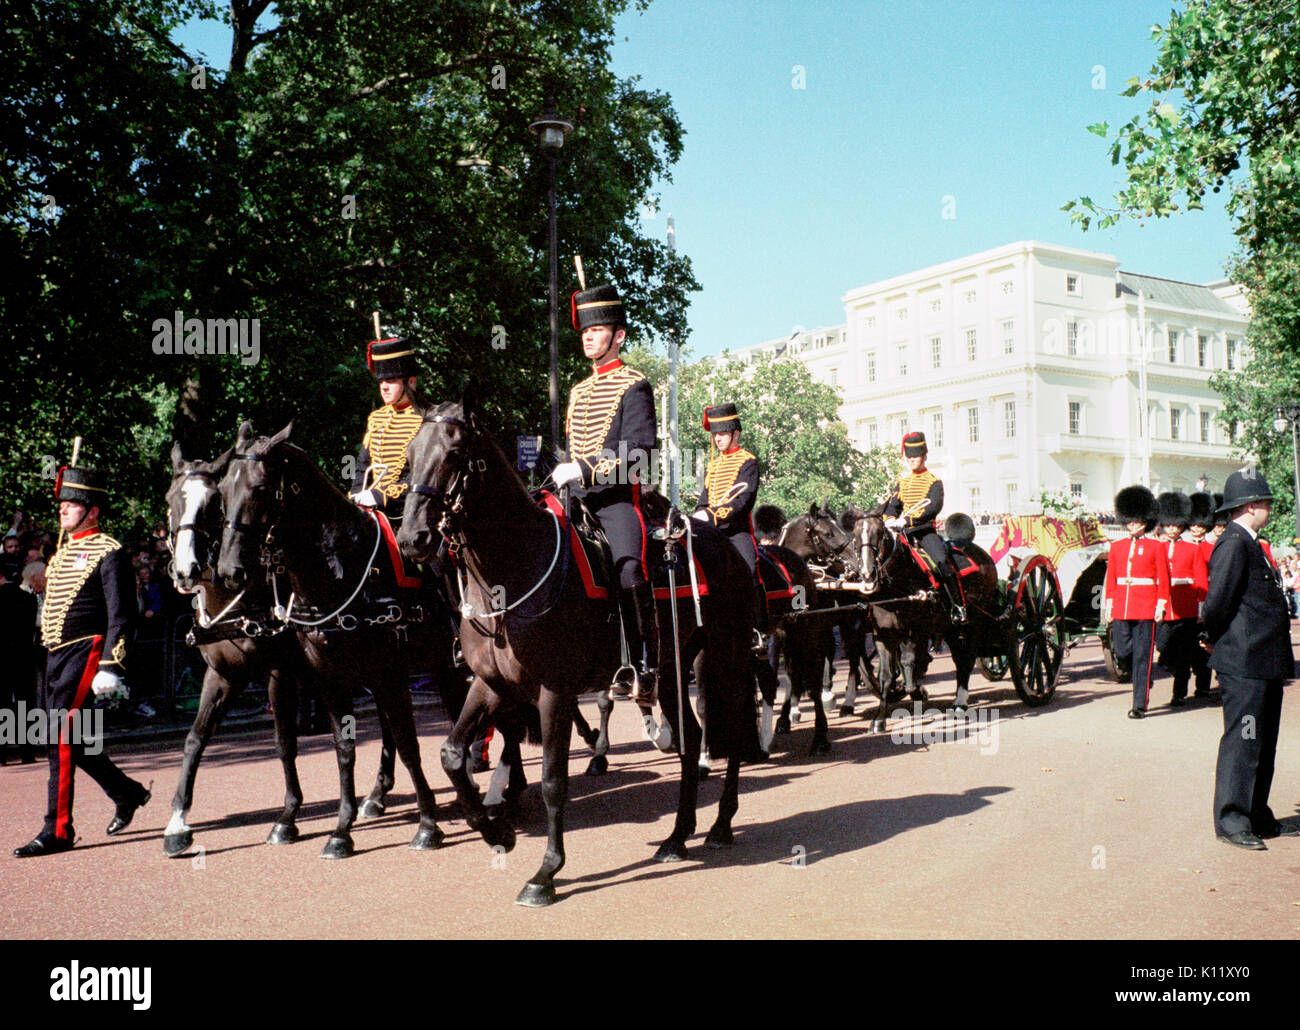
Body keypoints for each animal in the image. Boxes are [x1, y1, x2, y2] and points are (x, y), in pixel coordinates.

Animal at [215, 421, 454, 858]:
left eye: (260, 488)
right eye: (223, 489)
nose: (229, 571)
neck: (339, 570)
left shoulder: (389, 675)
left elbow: (410, 745)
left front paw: (428, 824)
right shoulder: (329, 679)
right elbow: (341, 750)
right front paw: (341, 829)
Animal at [397, 387, 759, 910]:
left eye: (455, 452)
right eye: (408, 457)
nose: (412, 539)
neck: (509, 575)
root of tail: (728, 547)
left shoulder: (555, 690)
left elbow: (553, 780)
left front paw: (546, 873)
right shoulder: (491, 684)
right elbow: (450, 754)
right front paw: (498, 832)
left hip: (724, 656)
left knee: (729, 727)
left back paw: (721, 824)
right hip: (671, 667)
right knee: (691, 738)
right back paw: (676, 837)